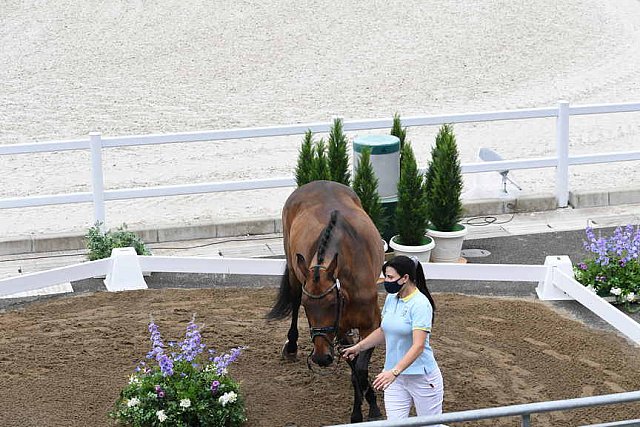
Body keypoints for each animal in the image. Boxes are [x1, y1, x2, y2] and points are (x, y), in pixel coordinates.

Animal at [266, 179, 382, 422]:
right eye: (307, 307)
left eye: (332, 304)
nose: (321, 358)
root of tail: (319, 182)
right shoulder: (341, 331)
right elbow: (356, 370)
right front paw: (359, 411)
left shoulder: (371, 325)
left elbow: (360, 369)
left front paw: (373, 407)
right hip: (294, 272)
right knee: (293, 298)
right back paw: (291, 347)